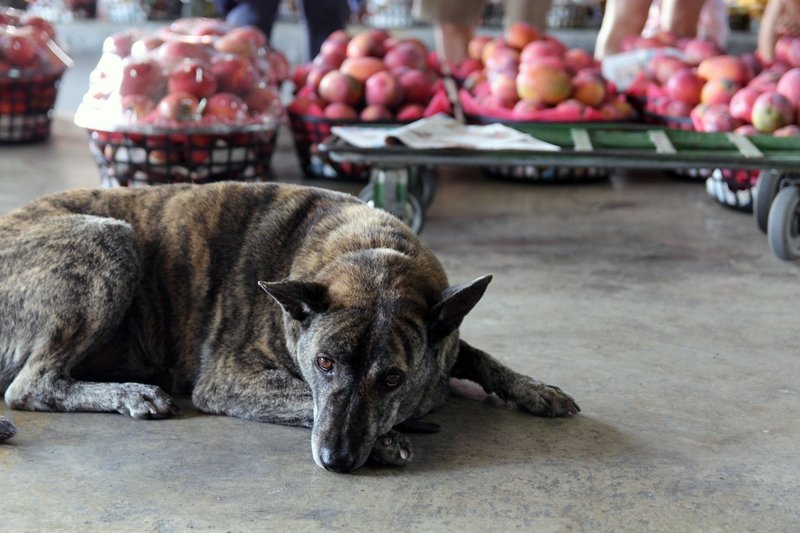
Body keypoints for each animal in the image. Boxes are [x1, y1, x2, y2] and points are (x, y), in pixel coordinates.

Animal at [0, 182, 580, 470]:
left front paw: (535, 389)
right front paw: (388, 441)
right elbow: (304, 399)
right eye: (323, 363)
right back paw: (129, 393)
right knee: (31, 386)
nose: (336, 461)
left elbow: (479, 356)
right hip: (109, 238)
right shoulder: (232, 379)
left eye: (392, 378)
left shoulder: (445, 334)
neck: (370, 249)